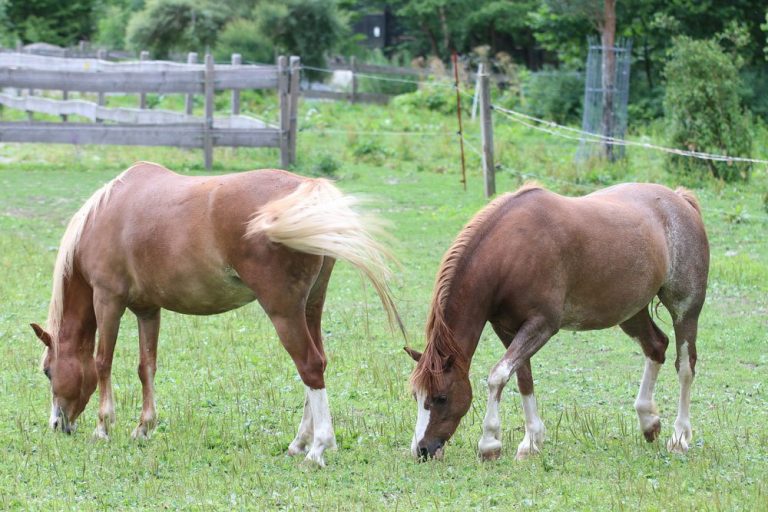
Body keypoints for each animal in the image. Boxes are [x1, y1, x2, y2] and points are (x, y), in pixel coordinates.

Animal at [31, 161, 402, 468]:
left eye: (48, 372)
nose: (57, 425)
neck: (107, 213)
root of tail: (308, 190)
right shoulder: (148, 310)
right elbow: (146, 367)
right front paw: (144, 428)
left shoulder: (109, 300)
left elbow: (102, 362)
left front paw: (103, 428)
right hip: (310, 308)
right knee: (316, 366)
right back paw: (299, 443)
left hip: (284, 311)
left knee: (309, 366)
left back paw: (317, 449)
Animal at [404, 183, 712, 460]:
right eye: (416, 397)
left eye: (441, 398)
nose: (421, 450)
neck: (511, 252)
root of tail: (681, 200)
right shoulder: (507, 328)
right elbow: (522, 377)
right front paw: (531, 441)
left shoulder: (542, 326)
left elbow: (497, 376)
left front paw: (490, 443)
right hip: (631, 312)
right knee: (656, 346)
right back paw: (649, 422)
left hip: (685, 309)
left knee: (685, 367)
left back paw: (679, 438)